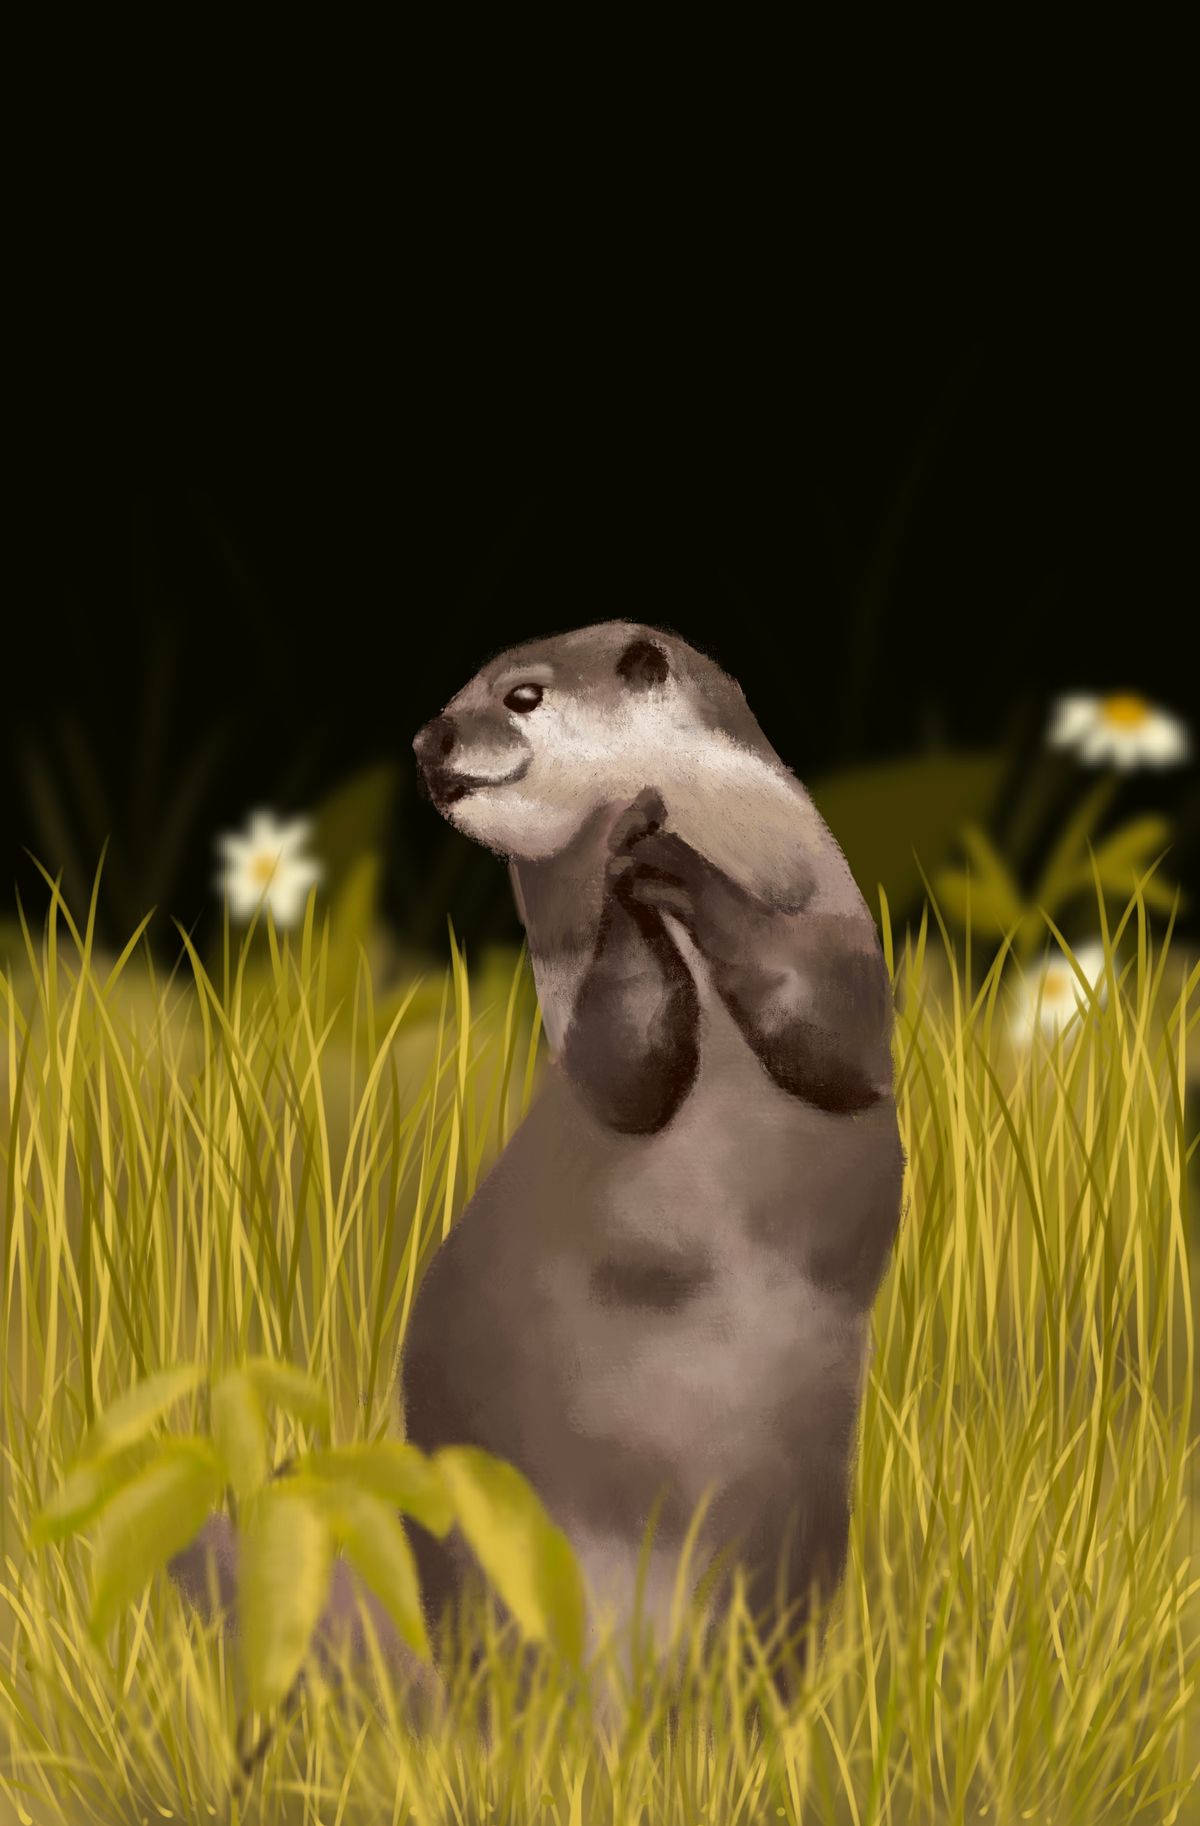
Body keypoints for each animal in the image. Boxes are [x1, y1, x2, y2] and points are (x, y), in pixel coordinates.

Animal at [404, 621, 903, 1678]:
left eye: (521, 695)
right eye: (465, 690)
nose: (430, 742)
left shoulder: (835, 928)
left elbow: (834, 1034)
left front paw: (659, 849)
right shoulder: (573, 992)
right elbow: (622, 1065)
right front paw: (623, 854)